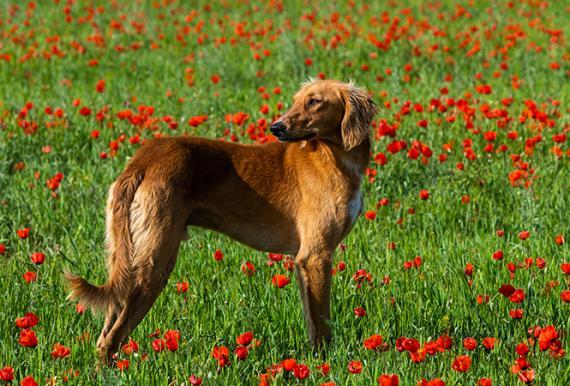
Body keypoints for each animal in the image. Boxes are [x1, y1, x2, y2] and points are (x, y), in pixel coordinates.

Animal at [64, 78, 374, 362]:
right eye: (298, 100)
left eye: (314, 101)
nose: (276, 128)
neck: (336, 155)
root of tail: (143, 159)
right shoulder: (315, 256)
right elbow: (323, 324)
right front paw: (326, 364)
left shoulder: (303, 262)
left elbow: (312, 323)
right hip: (155, 261)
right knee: (111, 339)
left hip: (128, 257)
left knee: (106, 331)